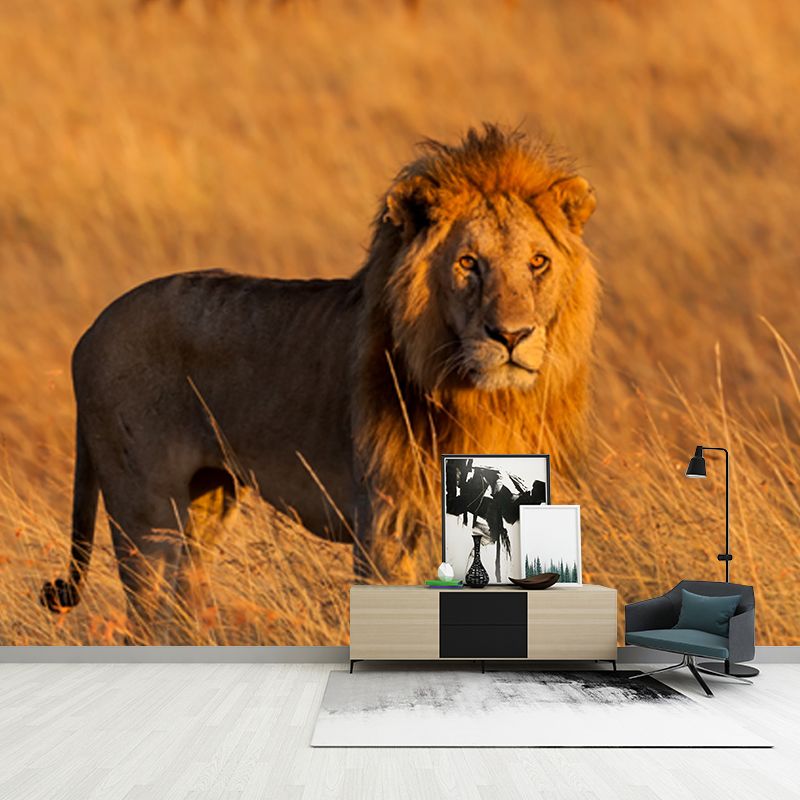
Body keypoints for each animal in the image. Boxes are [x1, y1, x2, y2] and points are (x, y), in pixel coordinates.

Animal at [41, 124, 598, 642]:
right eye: (468, 263)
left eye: (538, 262)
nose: (512, 335)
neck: (487, 400)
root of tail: (90, 331)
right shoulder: (384, 524)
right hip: (147, 513)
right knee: (146, 616)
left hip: (205, 504)